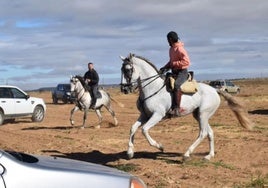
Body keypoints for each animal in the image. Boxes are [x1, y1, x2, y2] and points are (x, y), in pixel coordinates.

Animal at [120, 53, 252, 161]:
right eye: (121, 69)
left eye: (128, 70)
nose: (124, 89)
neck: (152, 88)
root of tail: (215, 90)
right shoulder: (144, 115)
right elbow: (133, 128)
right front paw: (130, 152)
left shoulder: (157, 115)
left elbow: (144, 130)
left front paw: (160, 146)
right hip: (199, 115)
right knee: (210, 133)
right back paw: (209, 156)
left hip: (203, 114)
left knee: (203, 133)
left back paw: (187, 154)